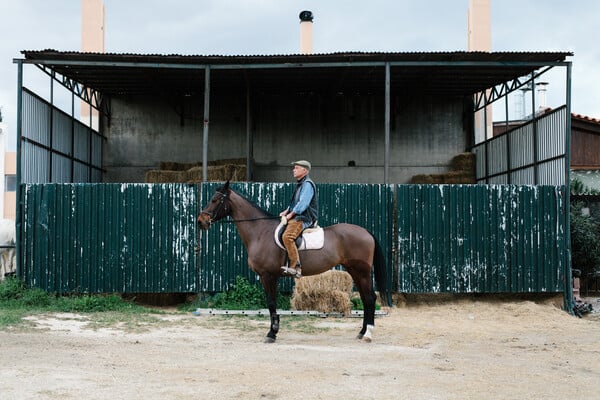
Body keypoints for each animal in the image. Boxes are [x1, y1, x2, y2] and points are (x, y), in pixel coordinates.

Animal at [199, 183, 392, 342]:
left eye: (215, 200)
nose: (201, 221)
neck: (260, 232)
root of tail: (366, 232)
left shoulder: (267, 276)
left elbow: (271, 303)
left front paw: (271, 333)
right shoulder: (270, 277)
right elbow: (272, 304)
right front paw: (274, 331)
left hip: (362, 272)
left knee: (370, 298)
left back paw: (368, 334)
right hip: (354, 271)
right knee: (366, 299)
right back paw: (361, 332)